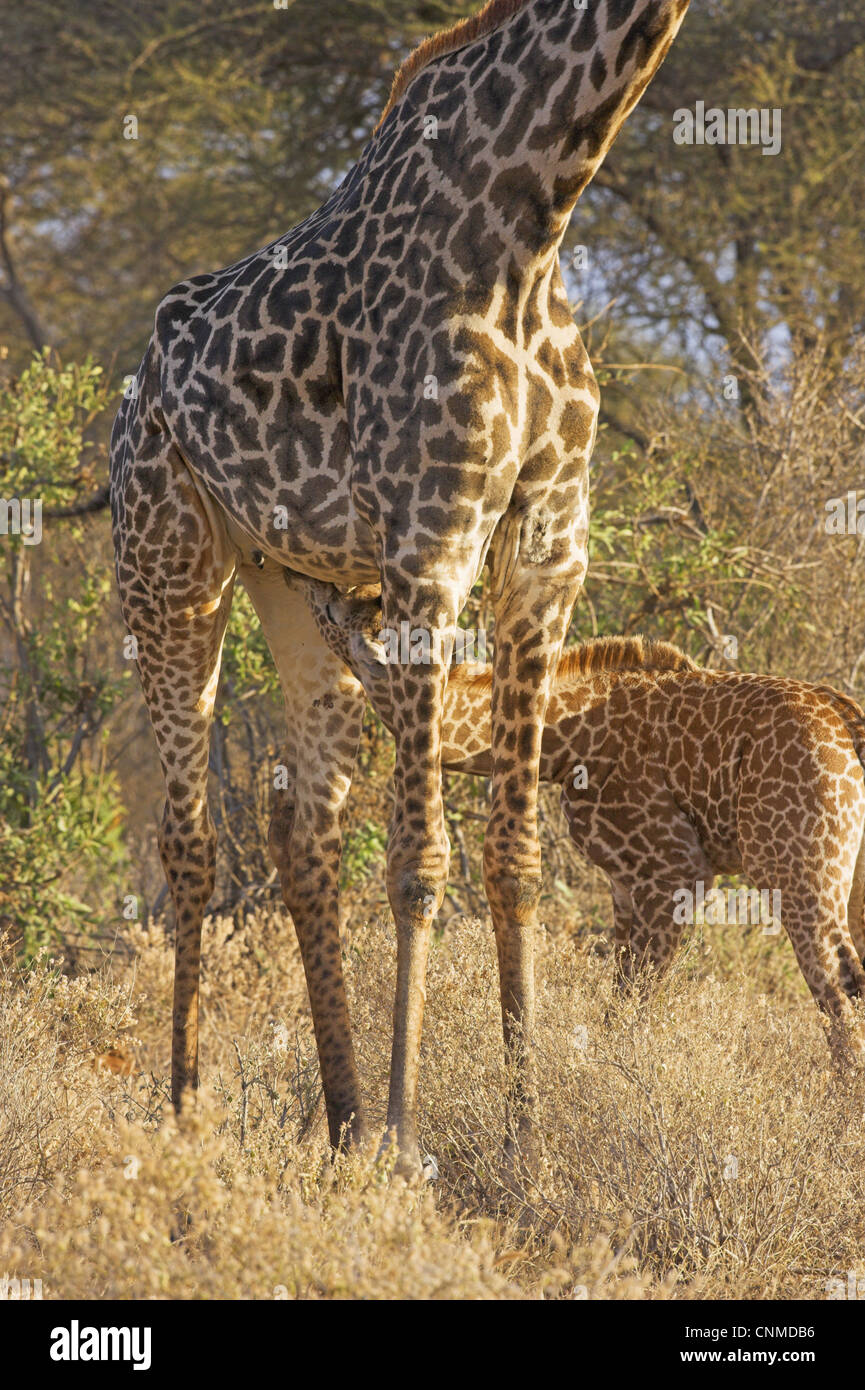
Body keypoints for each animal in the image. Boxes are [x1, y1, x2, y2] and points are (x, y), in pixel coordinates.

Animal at [111, 0, 692, 1173]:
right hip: (169, 567)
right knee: (189, 841)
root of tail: (131, 394)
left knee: (302, 830)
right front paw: (406, 1142)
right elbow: (423, 858)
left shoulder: (548, 553)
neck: (534, 205)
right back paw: (192, 1114)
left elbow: (514, 854)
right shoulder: (433, 549)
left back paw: (335, 1123)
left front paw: (527, 1147)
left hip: (296, 586)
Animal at [301, 575, 865, 1061]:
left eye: (336, 610)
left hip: (797, 873)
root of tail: (847, 721)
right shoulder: (625, 884)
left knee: (840, 987)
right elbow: (620, 1001)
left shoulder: (675, 870)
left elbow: (633, 1005)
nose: (306, 581)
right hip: (843, 879)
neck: (566, 740)